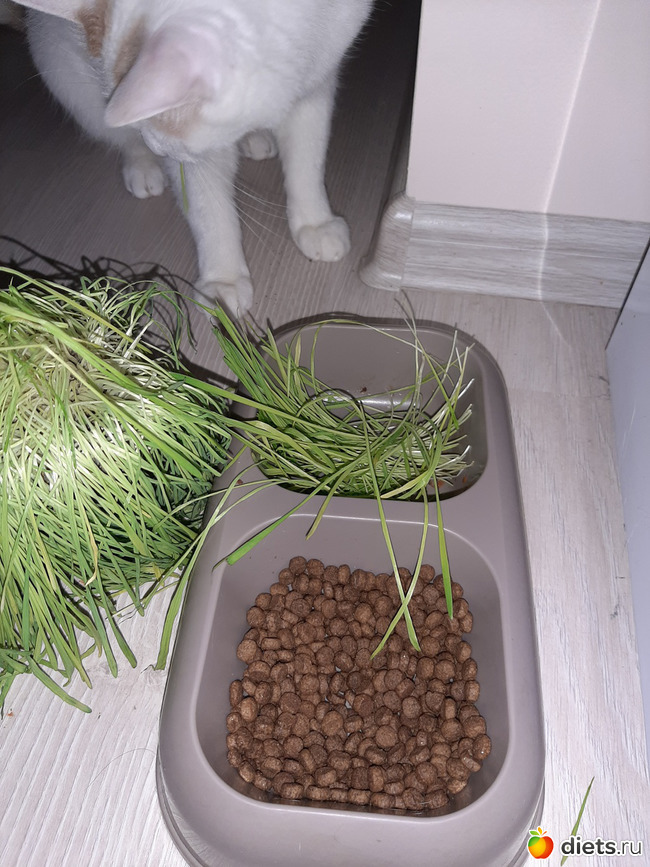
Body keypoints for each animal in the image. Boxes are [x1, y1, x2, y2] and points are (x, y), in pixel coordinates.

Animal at [16, 0, 374, 316]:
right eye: (147, 125)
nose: (152, 142)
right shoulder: (196, 159)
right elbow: (210, 210)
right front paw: (223, 281)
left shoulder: (315, 88)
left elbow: (307, 163)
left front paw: (316, 222)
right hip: (67, 81)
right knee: (120, 142)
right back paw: (143, 166)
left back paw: (254, 139)